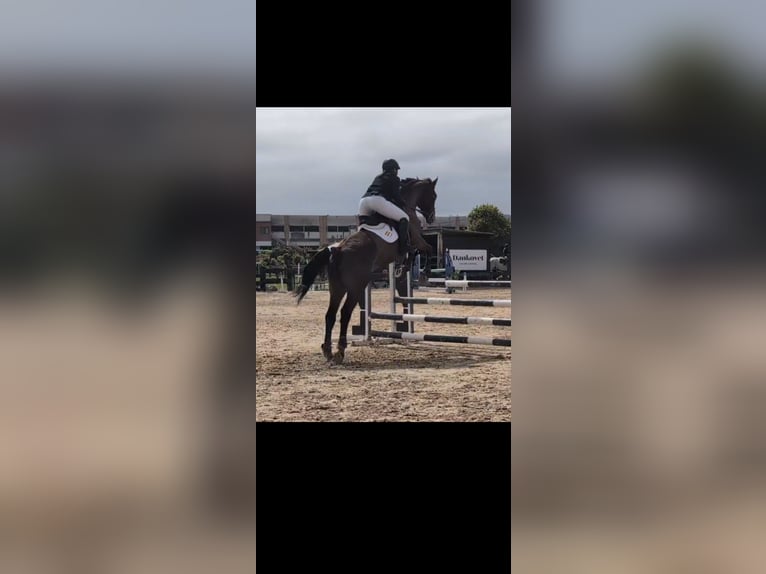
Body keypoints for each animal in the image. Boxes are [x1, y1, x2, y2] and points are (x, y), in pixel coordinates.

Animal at [293, 177, 438, 365]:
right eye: (433, 195)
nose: (432, 217)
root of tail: (338, 250)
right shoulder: (416, 240)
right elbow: (425, 250)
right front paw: (421, 271)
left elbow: (415, 253)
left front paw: (402, 269)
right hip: (356, 287)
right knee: (345, 313)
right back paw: (340, 351)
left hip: (337, 288)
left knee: (330, 315)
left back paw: (328, 351)